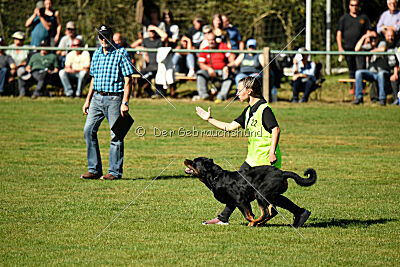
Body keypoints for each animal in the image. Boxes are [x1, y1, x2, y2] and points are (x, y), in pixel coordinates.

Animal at [183, 158, 318, 227]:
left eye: (194, 162)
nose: (185, 159)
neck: (216, 177)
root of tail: (282, 173)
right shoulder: (233, 202)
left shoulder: (240, 200)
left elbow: (248, 215)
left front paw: (252, 221)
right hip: (271, 196)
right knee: (272, 211)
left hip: (261, 194)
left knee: (266, 213)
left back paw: (255, 223)